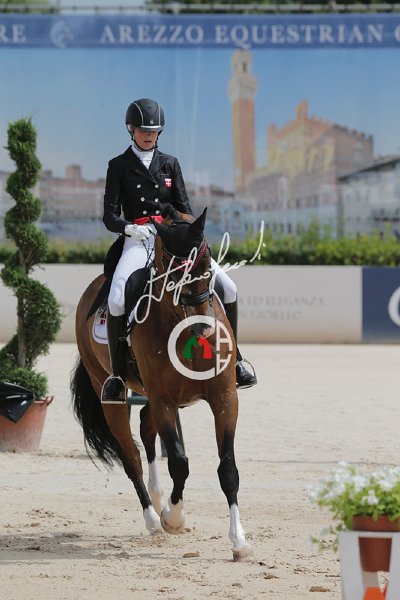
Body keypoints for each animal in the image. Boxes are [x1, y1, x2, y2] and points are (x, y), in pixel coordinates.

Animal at [71, 206, 252, 561]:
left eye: (206, 260)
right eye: (173, 265)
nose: (204, 327)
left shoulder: (224, 397)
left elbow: (228, 469)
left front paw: (238, 540)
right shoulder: (165, 401)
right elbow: (180, 463)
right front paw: (174, 518)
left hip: (150, 398)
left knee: (145, 429)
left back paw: (157, 496)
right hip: (113, 396)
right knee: (131, 457)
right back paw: (154, 518)